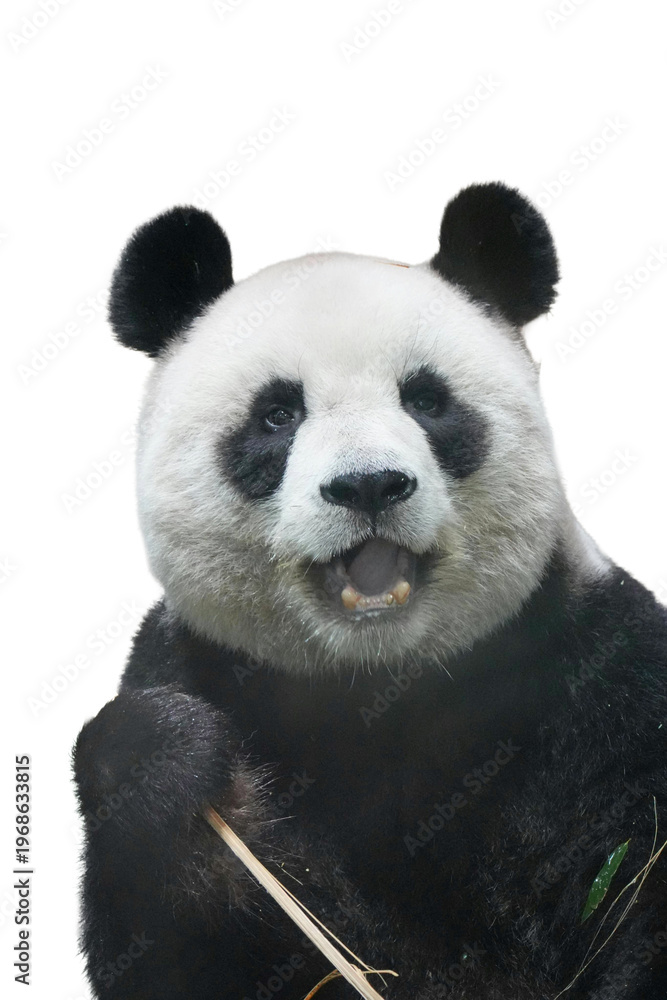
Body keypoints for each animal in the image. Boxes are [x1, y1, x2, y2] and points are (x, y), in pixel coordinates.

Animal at [73, 183, 667, 999]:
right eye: (277, 414)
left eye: (426, 400)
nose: (368, 485)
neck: (378, 683)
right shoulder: (198, 664)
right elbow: (184, 951)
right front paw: (164, 759)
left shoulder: (596, 686)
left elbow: (634, 887)